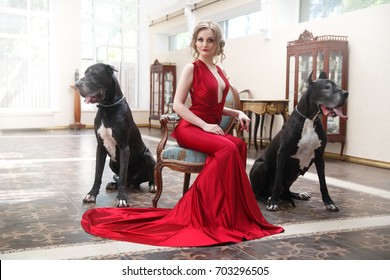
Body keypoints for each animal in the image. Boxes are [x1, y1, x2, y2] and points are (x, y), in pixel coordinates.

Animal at [75, 64, 156, 208]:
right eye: (85, 73)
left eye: (94, 74)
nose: (77, 84)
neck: (108, 108)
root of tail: (134, 181)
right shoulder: (100, 148)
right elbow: (97, 174)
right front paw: (91, 194)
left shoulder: (124, 148)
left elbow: (122, 175)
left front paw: (122, 198)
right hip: (111, 162)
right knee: (125, 180)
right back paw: (113, 184)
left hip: (148, 156)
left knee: (143, 176)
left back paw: (152, 186)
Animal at [248, 72, 348, 212]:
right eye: (326, 88)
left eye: (336, 85)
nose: (346, 93)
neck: (310, 120)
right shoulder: (282, 154)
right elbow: (277, 182)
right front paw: (273, 203)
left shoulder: (319, 156)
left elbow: (323, 183)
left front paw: (329, 202)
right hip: (260, 166)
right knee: (258, 193)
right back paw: (268, 198)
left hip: (293, 175)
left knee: (286, 191)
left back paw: (298, 194)